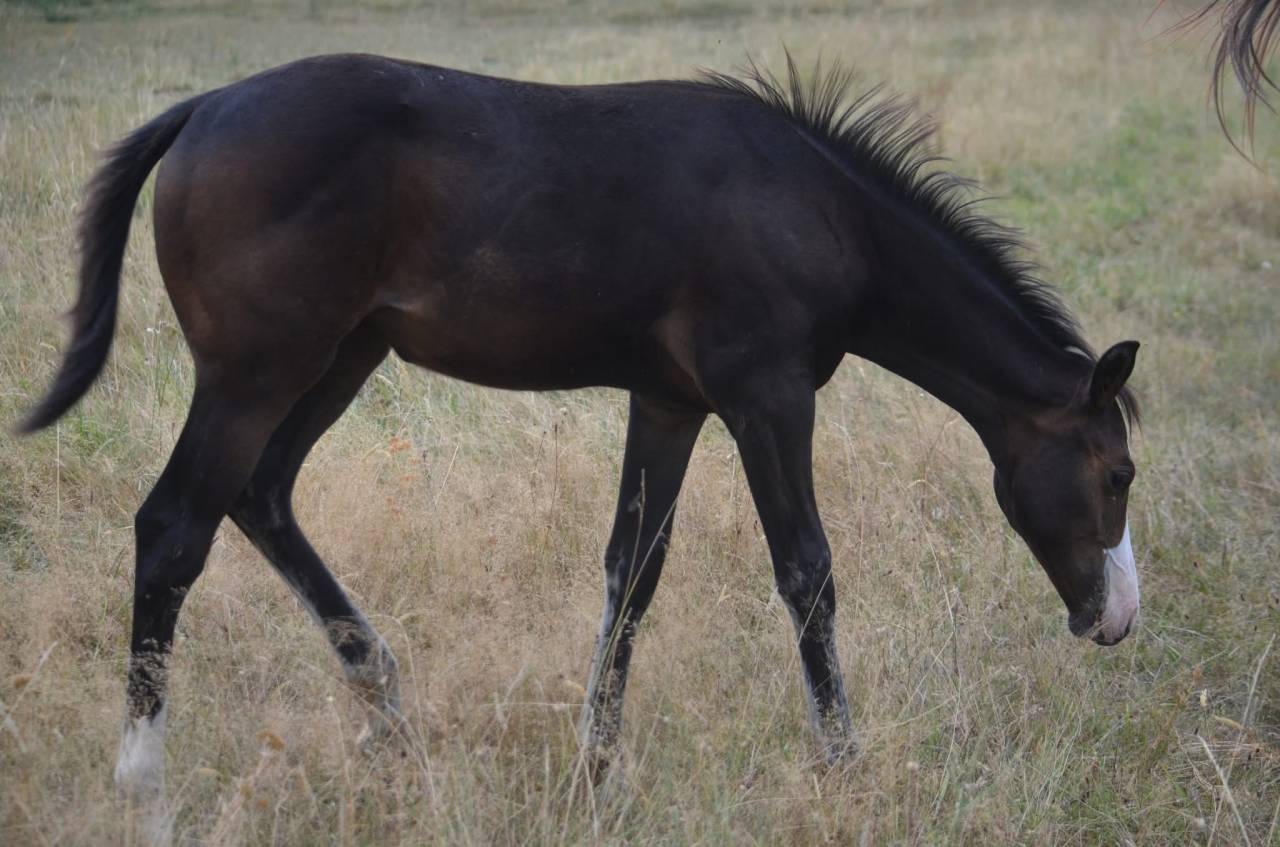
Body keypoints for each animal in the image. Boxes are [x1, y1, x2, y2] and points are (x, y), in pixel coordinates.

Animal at [19, 54, 1142, 799]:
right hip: (254, 374)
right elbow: (806, 570)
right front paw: (843, 759)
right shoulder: (768, 397)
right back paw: (141, 777)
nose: (1113, 620)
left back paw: (385, 701)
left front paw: (595, 764)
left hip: (338, 359)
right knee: (174, 526)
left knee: (262, 496)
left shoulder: (671, 403)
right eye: (1117, 474)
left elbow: (631, 567)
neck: (811, 207)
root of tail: (200, 109)